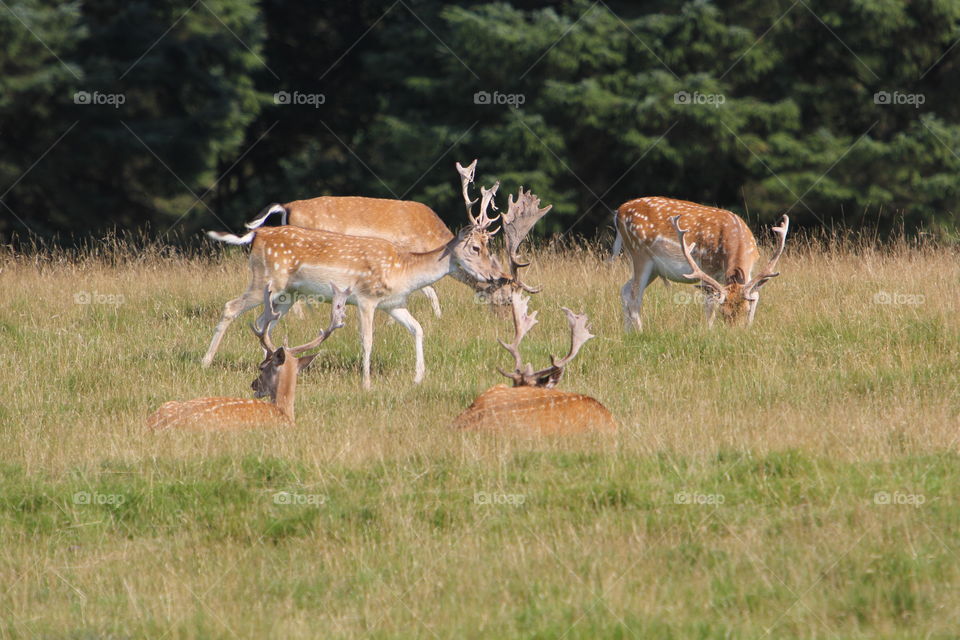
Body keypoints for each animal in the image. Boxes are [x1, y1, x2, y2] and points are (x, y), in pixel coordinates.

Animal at [202, 161, 527, 389]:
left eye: (488, 247)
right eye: (475, 247)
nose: (495, 276)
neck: (404, 270)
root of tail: (257, 236)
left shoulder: (394, 304)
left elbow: (418, 329)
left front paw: (418, 377)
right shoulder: (366, 299)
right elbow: (367, 339)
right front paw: (367, 382)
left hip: (285, 294)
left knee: (260, 322)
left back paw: (268, 361)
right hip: (264, 280)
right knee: (231, 307)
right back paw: (206, 361)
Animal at [614, 197, 789, 331]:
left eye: (745, 310)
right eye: (723, 312)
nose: (735, 332)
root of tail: (619, 212)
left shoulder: (750, 269)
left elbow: (756, 295)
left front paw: (748, 327)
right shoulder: (706, 266)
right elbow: (710, 303)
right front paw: (709, 331)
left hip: (654, 268)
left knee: (625, 289)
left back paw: (627, 332)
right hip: (639, 253)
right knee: (635, 296)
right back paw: (640, 332)